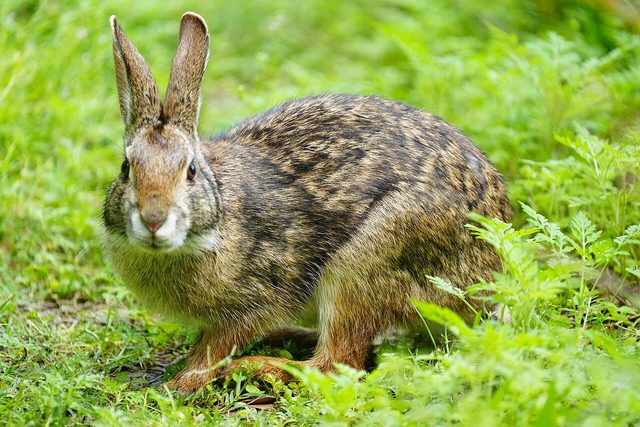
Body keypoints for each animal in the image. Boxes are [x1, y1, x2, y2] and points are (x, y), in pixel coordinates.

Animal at [103, 12, 512, 393]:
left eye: (190, 170)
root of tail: (489, 278)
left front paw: (181, 383)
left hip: (365, 264)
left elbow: (215, 347)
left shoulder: (261, 295)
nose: (153, 220)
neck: (220, 219)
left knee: (337, 364)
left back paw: (255, 366)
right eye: (126, 168)